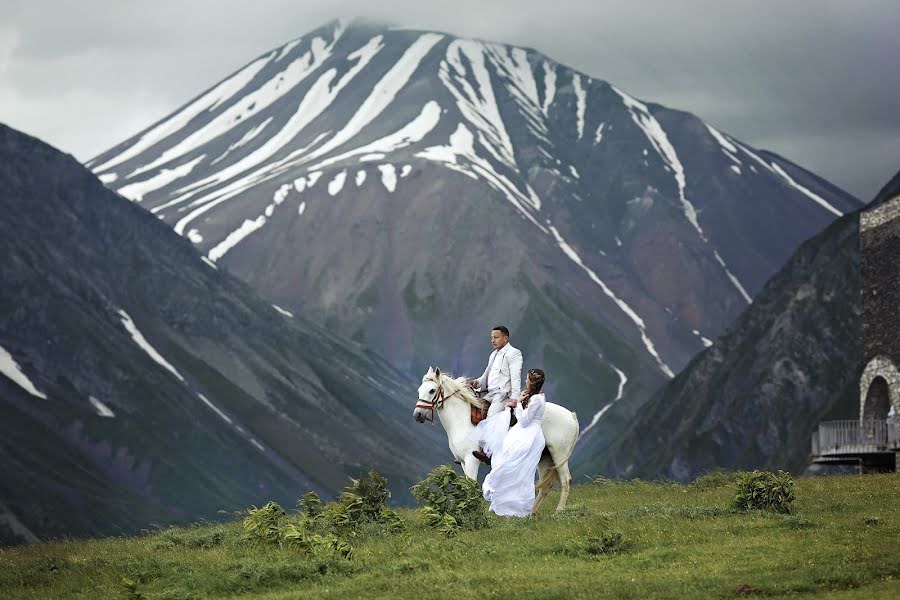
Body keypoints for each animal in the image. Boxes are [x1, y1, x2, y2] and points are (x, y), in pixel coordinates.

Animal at [414, 368, 580, 512]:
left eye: (432, 390)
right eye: (419, 391)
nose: (417, 415)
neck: (462, 420)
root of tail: (571, 416)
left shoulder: (472, 459)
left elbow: (471, 486)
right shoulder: (462, 462)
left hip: (559, 455)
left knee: (566, 480)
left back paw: (558, 511)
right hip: (544, 457)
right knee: (545, 486)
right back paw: (530, 513)